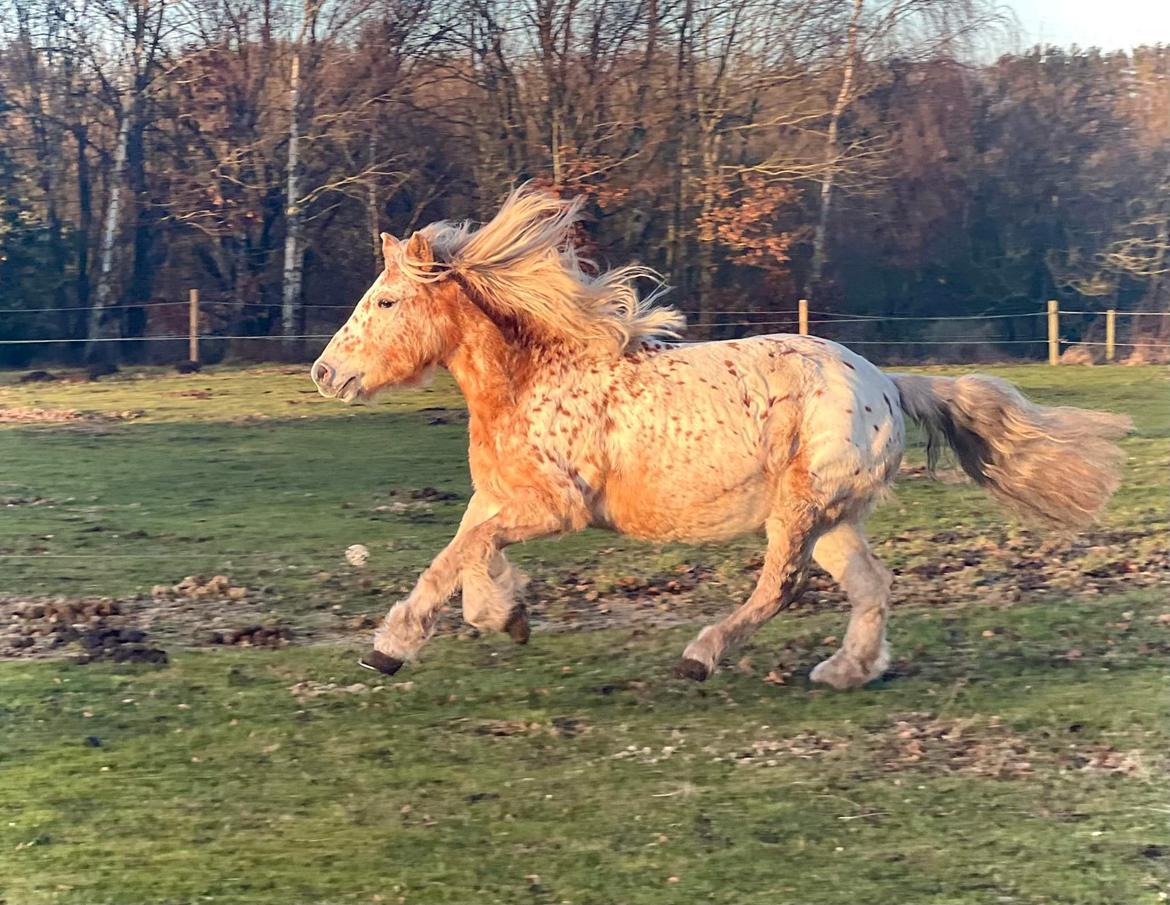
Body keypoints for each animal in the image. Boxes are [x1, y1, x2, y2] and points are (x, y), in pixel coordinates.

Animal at [311, 188, 1132, 692]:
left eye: (386, 301)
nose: (325, 373)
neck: (533, 375)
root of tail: (889, 384)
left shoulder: (553, 509)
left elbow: (458, 555)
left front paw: (391, 647)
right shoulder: (503, 497)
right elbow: (468, 551)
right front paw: (502, 616)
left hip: (800, 511)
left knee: (781, 586)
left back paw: (701, 656)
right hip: (832, 518)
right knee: (871, 586)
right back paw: (847, 671)